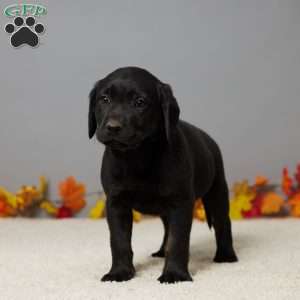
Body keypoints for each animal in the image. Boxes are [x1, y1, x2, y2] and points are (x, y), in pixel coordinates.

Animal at [88, 66, 238, 284]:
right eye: (104, 99)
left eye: (139, 102)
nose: (113, 127)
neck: (137, 156)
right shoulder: (116, 203)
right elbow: (119, 241)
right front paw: (120, 273)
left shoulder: (181, 203)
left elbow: (177, 241)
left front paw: (174, 275)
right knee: (167, 227)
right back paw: (160, 252)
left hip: (217, 190)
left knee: (222, 222)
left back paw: (226, 256)